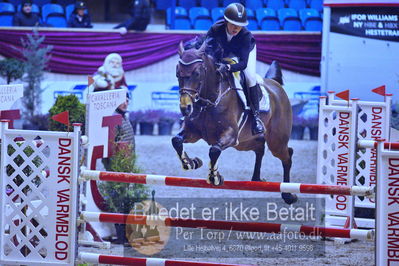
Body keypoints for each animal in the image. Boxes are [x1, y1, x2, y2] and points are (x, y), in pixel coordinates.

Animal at [172, 41, 296, 204]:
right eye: (178, 74)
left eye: (197, 73)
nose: (185, 108)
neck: (209, 101)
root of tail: (276, 85)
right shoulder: (193, 133)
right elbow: (176, 140)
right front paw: (191, 162)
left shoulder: (230, 135)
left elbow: (214, 150)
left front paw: (215, 177)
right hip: (244, 143)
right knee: (260, 148)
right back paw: (256, 179)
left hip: (276, 141)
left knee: (287, 155)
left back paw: (288, 195)